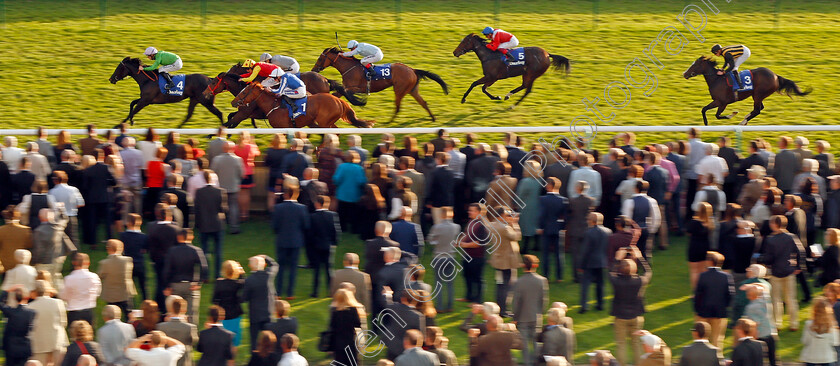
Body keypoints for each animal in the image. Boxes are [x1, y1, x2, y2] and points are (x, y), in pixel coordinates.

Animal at [230, 83, 374, 129]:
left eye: (244, 92)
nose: (233, 102)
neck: (273, 105)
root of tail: (340, 101)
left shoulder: (284, 127)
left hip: (324, 122)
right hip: (327, 122)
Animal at [312, 46, 450, 121]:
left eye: (320, 58)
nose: (314, 69)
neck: (349, 68)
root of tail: (412, 70)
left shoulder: (355, 88)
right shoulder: (347, 88)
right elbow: (336, 95)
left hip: (400, 90)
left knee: (398, 106)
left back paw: (389, 122)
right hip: (412, 90)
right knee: (423, 102)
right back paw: (433, 118)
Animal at [684, 55, 812, 126]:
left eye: (694, 65)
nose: (684, 74)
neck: (717, 79)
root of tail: (776, 76)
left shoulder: (722, 102)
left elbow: (717, 115)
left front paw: (732, 115)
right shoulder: (717, 101)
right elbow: (704, 109)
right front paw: (706, 123)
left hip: (758, 94)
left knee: (757, 110)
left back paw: (742, 121)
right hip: (757, 95)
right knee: (759, 108)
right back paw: (745, 119)